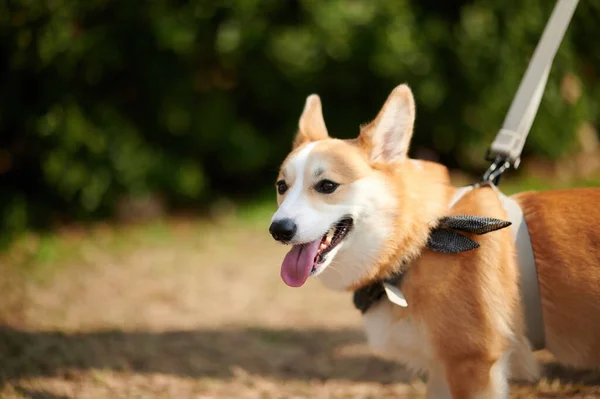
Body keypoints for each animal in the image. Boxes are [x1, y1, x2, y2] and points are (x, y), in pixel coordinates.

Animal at [270, 83, 600, 398]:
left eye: (327, 186)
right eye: (281, 186)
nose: (278, 230)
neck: (420, 243)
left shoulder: (473, 365)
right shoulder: (441, 371)